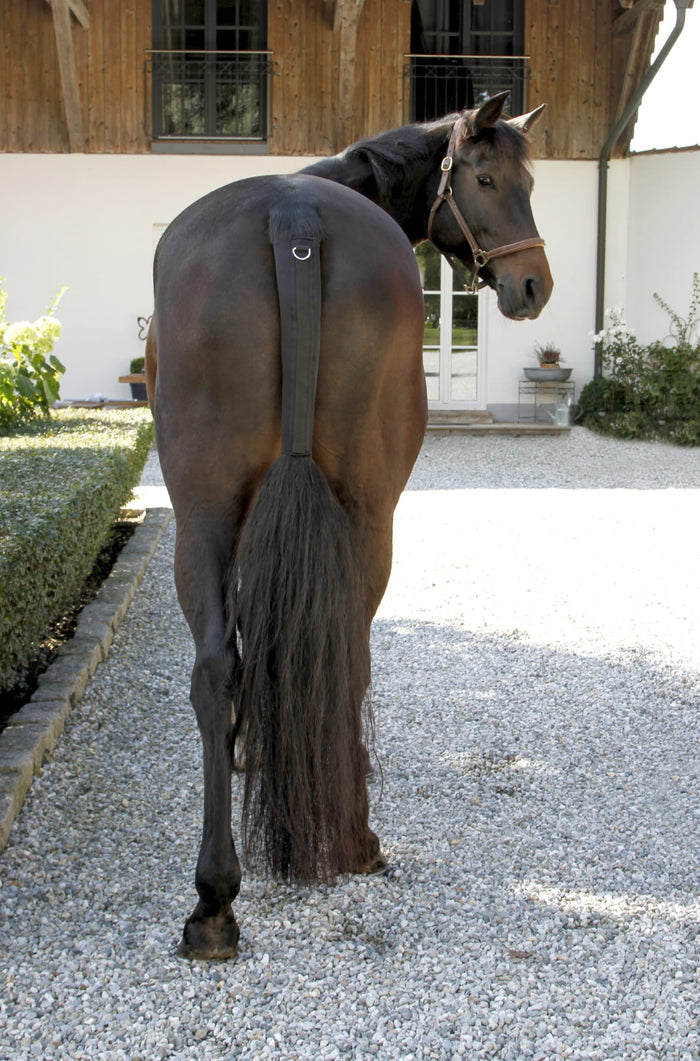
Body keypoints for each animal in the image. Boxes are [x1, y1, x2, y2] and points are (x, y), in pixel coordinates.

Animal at [146, 91, 552, 960]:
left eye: (532, 181)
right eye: (488, 178)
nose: (533, 283)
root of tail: (293, 217)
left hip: (218, 511)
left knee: (248, 663)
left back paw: (233, 890)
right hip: (332, 512)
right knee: (305, 659)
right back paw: (291, 863)